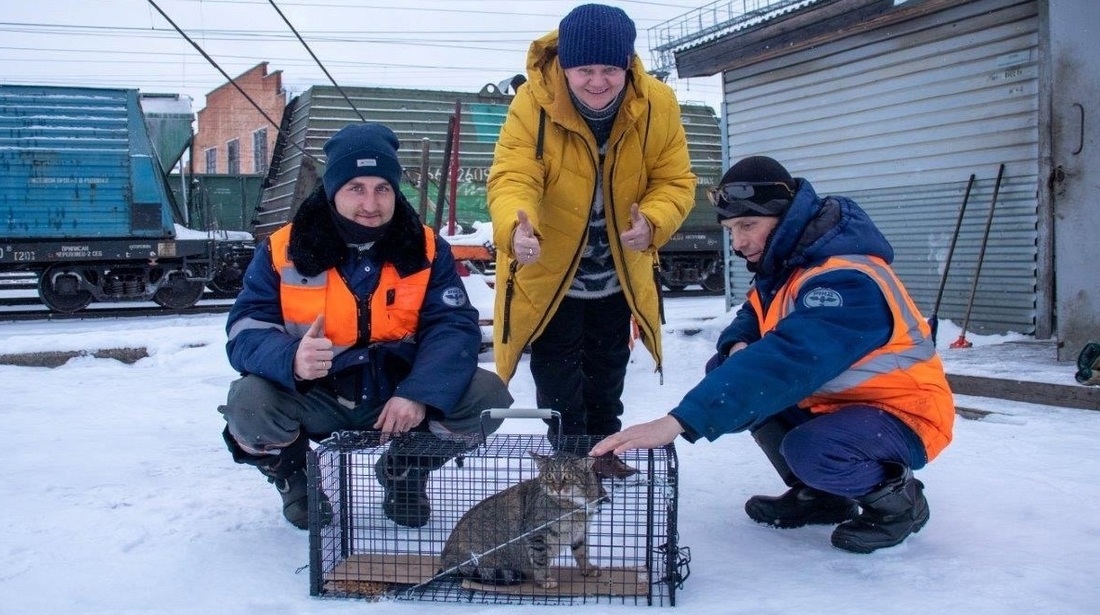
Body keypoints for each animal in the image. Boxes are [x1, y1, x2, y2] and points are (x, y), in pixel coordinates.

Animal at [440, 451, 611, 589]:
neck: (575, 507)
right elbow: (540, 559)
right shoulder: (537, 535)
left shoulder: (581, 533)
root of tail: (445, 557)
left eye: (568, 476)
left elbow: (582, 552)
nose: (557, 488)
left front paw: (588, 569)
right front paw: (544, 580)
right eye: (549, 476)